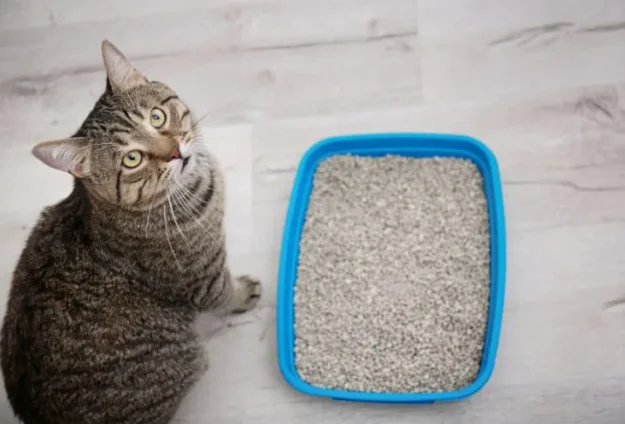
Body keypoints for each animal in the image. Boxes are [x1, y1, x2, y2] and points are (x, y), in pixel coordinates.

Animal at [0, 40, 260, 424]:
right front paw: (244, 292)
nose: (176, 152)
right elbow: (226, 294)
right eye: (132, 159)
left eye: (157, 117)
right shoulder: (203, 278)